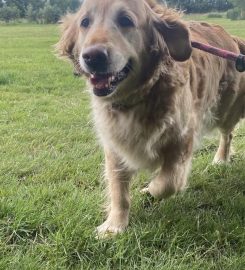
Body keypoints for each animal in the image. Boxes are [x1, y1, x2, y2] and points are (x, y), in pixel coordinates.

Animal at [56, 0, 245, 236]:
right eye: (85, 22)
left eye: (125, 20)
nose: (92, 56)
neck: (137, 99)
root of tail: (231, 37)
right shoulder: (115, 145)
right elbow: (118, 189)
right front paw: (114, 225)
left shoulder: (182, 138)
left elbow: (168, 182)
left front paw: (150, 189)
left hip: (226, 108)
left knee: (227, 134)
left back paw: (220, 158)